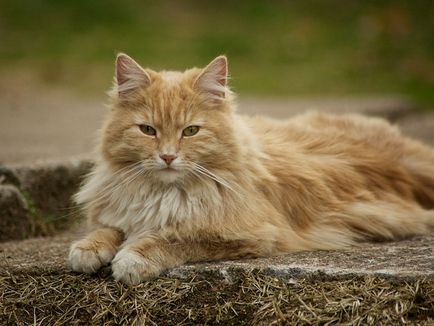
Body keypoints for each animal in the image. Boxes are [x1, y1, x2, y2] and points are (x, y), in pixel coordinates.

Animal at [68, 52, 434, 282]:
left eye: (191, 131)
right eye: (147, 130)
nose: (168, 157)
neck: (163, 193)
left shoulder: (250, 235)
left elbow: (172, 238)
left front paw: (133, 259)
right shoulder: (121, 211)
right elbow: (109, 228)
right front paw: (87, 249)